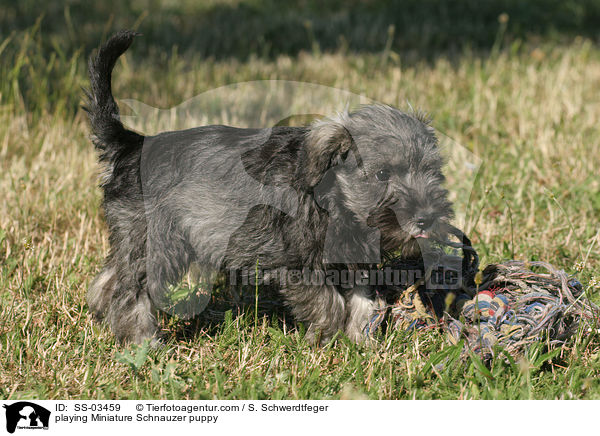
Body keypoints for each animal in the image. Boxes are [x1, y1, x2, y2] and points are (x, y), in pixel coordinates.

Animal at [85, 29, 454, 344]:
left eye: (432, 171)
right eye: (381, 175)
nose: (426, 217)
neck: (331, 196)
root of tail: (132, 144)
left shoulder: (352, 259)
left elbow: (364, 300)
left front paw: (360, 340)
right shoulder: (299, 266)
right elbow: (330, 303)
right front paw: (328, 338)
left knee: (107, 280)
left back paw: (105, 320)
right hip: (157, 243)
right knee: (130, 292)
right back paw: (143, 342)